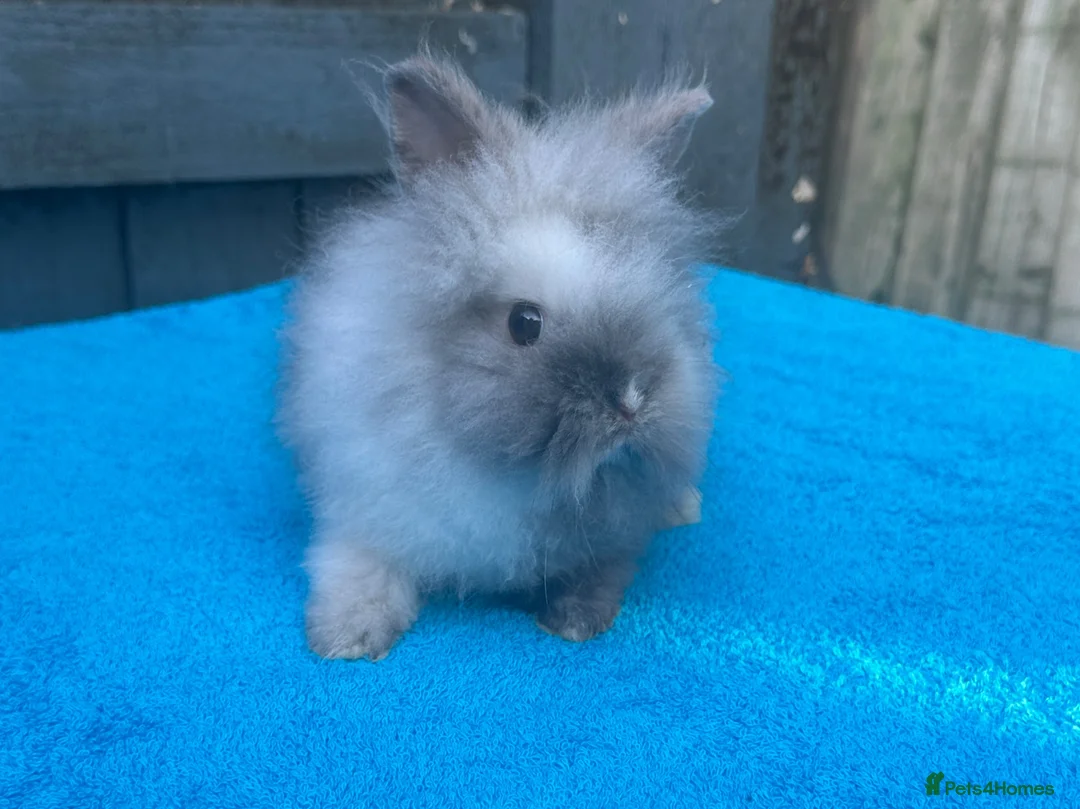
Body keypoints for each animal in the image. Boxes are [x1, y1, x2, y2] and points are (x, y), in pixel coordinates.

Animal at [277, 52, 721, 661]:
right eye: (524, 323)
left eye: (660, 304)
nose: (632, 402)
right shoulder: (364, 506)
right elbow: (358, 568)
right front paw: (347, 638)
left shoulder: (610, 535)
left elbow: (602, 572)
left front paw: (575, 620)